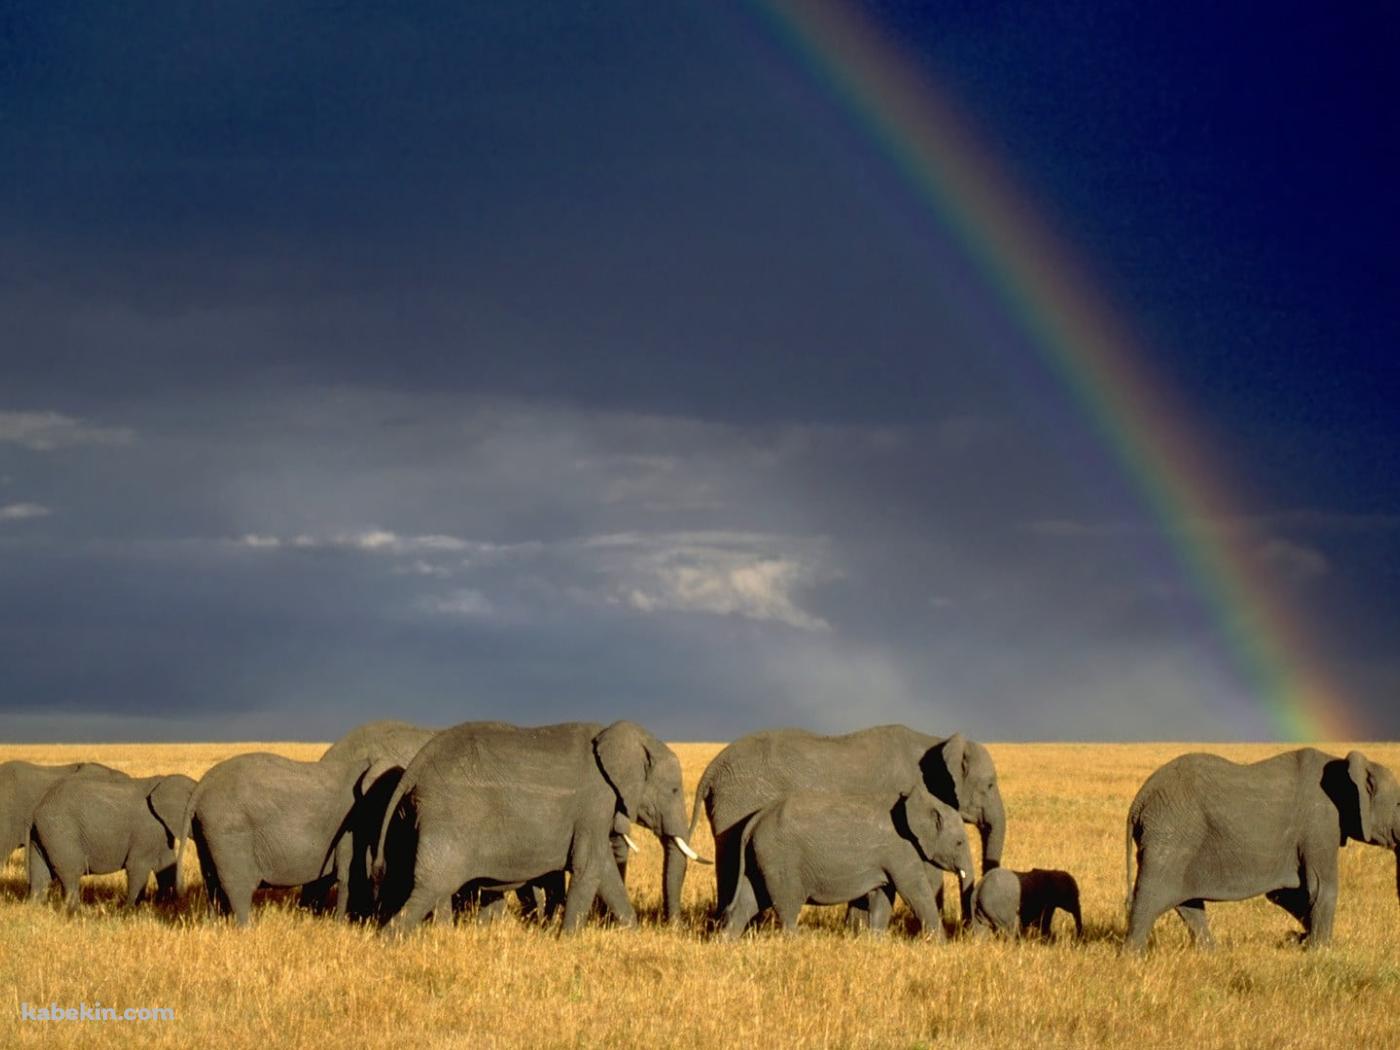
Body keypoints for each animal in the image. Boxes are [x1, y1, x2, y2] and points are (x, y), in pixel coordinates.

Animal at [27, 774, 195, 910]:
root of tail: (39, 808)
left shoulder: (162, 833)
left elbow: (167, 866)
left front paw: (166, 906)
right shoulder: (147, 831)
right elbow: (137, 867)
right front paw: (129, 912)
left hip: (43, 834)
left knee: (40, 873)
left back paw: (35, 910)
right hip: (60, 832)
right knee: (71, 873)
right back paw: (74, 913)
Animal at [177, 751, 399, 926]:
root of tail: (201, 787)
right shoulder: (353, 823)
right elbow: (350, 876)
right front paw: (342, 926)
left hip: (206, 831)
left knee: (212, 883)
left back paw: (215, 928)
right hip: (229, 830)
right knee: (237, 887)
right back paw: (246, 931)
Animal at [376, 720, 701, 933]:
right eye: (674, 790)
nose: (673, 930)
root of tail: (417, 764)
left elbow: (605, 869)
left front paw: (631, 932)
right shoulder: (596, 802)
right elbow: (589, 865)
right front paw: (567, 939)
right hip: (449, 813)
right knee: (432, 884)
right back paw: (390, 940)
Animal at [720, 784, 973, 938]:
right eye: (960, 842)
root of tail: (755, 819)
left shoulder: (888, 855)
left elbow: (884, 895)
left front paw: (876, 942)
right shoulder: (900, 849)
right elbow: (915, 891)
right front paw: (942, 946)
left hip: (762, 858)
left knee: (749, 900)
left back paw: (727, 943)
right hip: (781, 858)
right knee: (787, 904)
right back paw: (795, 941)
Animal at [1124, 748, 1400, 951]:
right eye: (1399, 804)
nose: (1294, 936)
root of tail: (1140, 799)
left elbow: (1288, 893)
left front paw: (1298, 940)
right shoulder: (1320, 822)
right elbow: (1320, 888)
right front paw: (1319, 951)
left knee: (1187, 902)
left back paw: (1211, 953)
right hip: (1171, 831)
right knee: (1152, 894)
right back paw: (1133, 958)